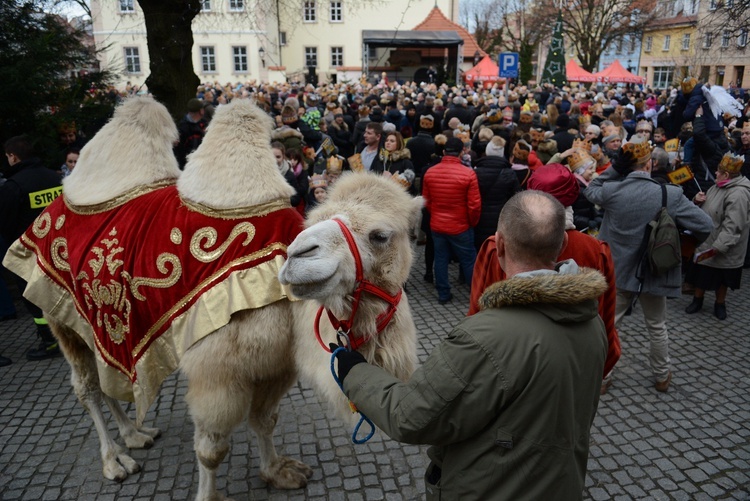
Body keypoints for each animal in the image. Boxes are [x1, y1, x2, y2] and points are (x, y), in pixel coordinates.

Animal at [2, 95, 424, 498]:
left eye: (381, 235)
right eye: (314, 219)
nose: (299, 257)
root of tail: (55, 204)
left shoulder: (276, 365)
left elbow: (264, 420)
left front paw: (277, 472)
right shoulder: (218, 371)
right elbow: (211, 449)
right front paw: (211, 495)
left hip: (92, 318)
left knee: (106, 374)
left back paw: (135, 435)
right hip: (56, 310)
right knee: (86, 386)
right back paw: (114, 460)